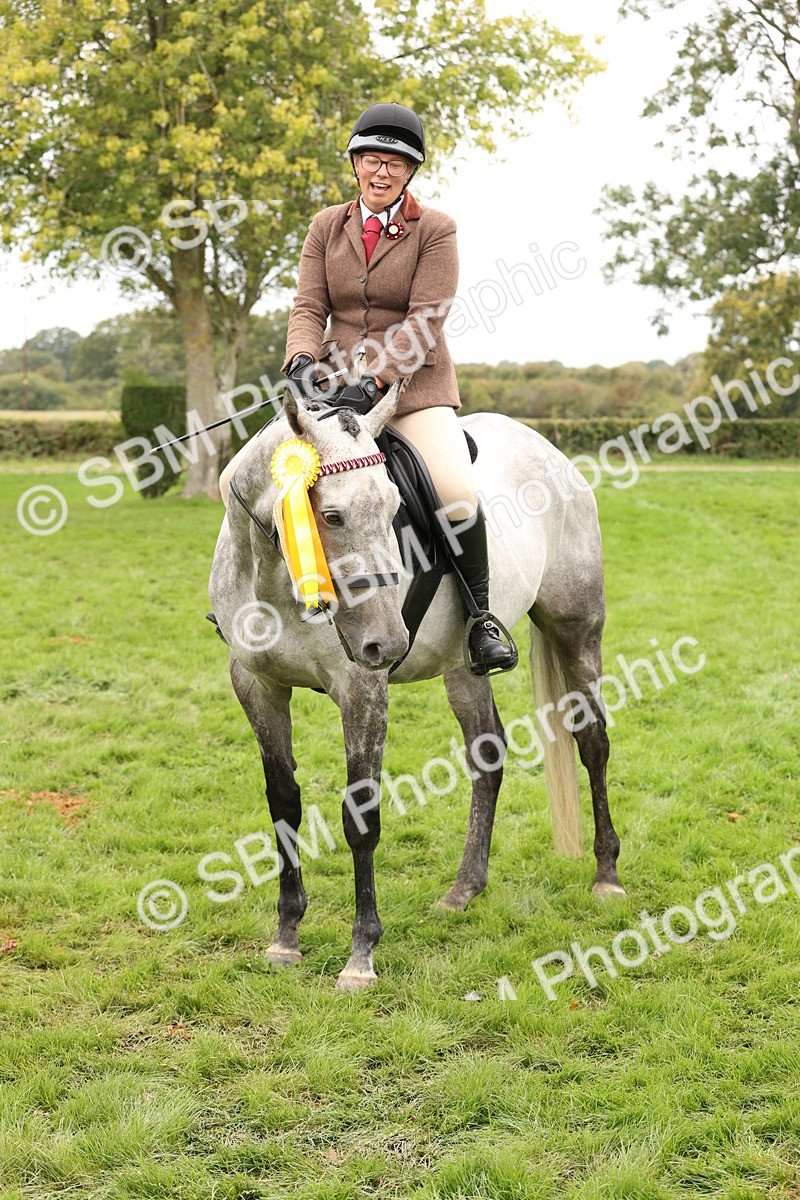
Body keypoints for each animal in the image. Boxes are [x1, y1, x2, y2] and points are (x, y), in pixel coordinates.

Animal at [208, 382, 624, 990]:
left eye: (392, 508)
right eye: (330, 515)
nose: (386, 642)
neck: (274, 575)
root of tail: (549, 451)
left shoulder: (362, 689)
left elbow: (360, 817)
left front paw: (361, 957)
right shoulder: (256, 684)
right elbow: (283, 805)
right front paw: (285, 938)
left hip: (576, 631)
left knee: (592, 741)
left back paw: (606, 875)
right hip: (461, 666)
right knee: (487, 756)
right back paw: (464, 889)